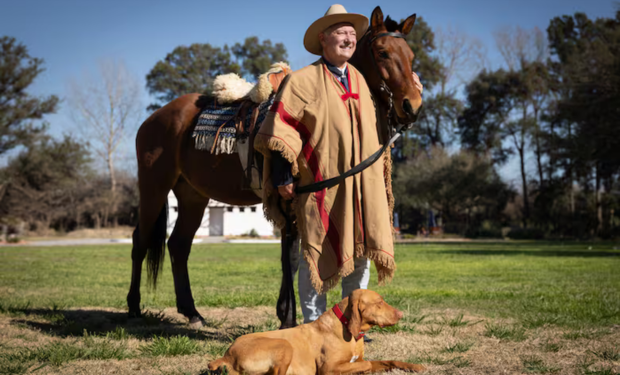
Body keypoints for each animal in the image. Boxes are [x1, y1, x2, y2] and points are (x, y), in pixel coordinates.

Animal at [128, 5, 424, 328]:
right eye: (382, 52)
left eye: (410, 55)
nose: (412, 105)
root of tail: (155, 118)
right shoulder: (290, 197)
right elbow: (291, 259)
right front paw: (289, 319)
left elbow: (291, 258)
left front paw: (285, 314)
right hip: (154, 187)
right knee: (140, 241)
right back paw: (134, 308)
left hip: (193, 195)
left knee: (179, 245)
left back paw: (192, 312)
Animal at [208, 290, 426, 375]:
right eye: (379, 302)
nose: (401, 313)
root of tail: (227, 355)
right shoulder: (329, 368)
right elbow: (366, 364)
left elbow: (387, 361)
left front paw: (414, 366)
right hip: (284, 345)